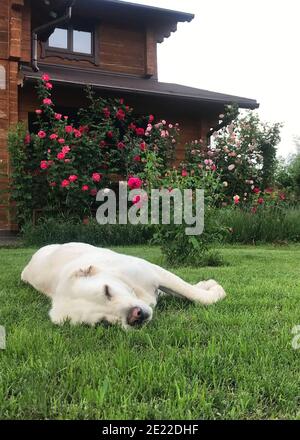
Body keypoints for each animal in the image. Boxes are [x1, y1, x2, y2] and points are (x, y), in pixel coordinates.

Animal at [21, 242, 226, 328]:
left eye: (106, 291)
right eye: (102, 322)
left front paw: (214, 290)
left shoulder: (155, 271)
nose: (135, 317)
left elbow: (193, 293)